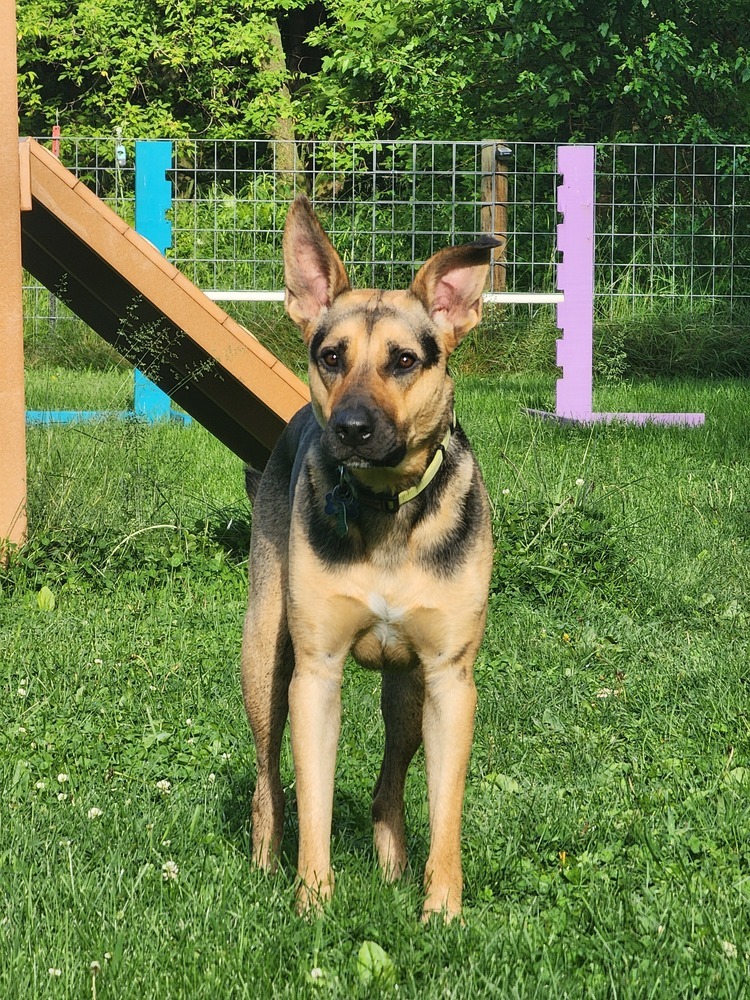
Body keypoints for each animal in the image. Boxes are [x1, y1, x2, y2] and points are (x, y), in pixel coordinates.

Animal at [242, 195, 500, 920]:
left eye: (405, 361)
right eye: (331, 356)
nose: (350, 429)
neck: (388, 510)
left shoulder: (449, 679)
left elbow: (446, 808)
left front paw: (442, 909)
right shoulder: (316, 674)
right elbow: (315, 799)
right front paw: (312, 901)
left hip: (408, 691)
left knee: (391, 782)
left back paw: (393, 863)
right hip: (263, 659)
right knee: (267, 779)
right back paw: (266, 862)